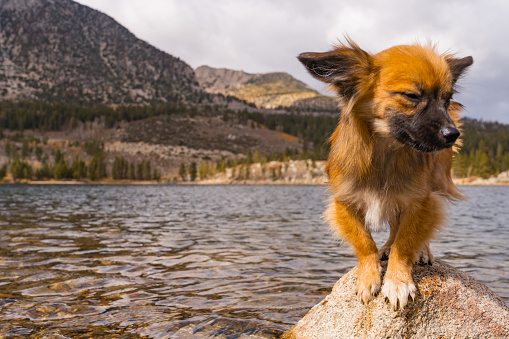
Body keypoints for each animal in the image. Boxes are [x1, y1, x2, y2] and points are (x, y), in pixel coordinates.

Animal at [298, 39, 472, 310]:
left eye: (447, 100)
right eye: (411, 96)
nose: (452, 134)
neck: (386, 150)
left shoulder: (419, 201)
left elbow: (405, 242)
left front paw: (398, 280)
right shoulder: (345, 203)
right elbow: (364, 242)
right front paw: (368, 277)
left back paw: (422, 251)